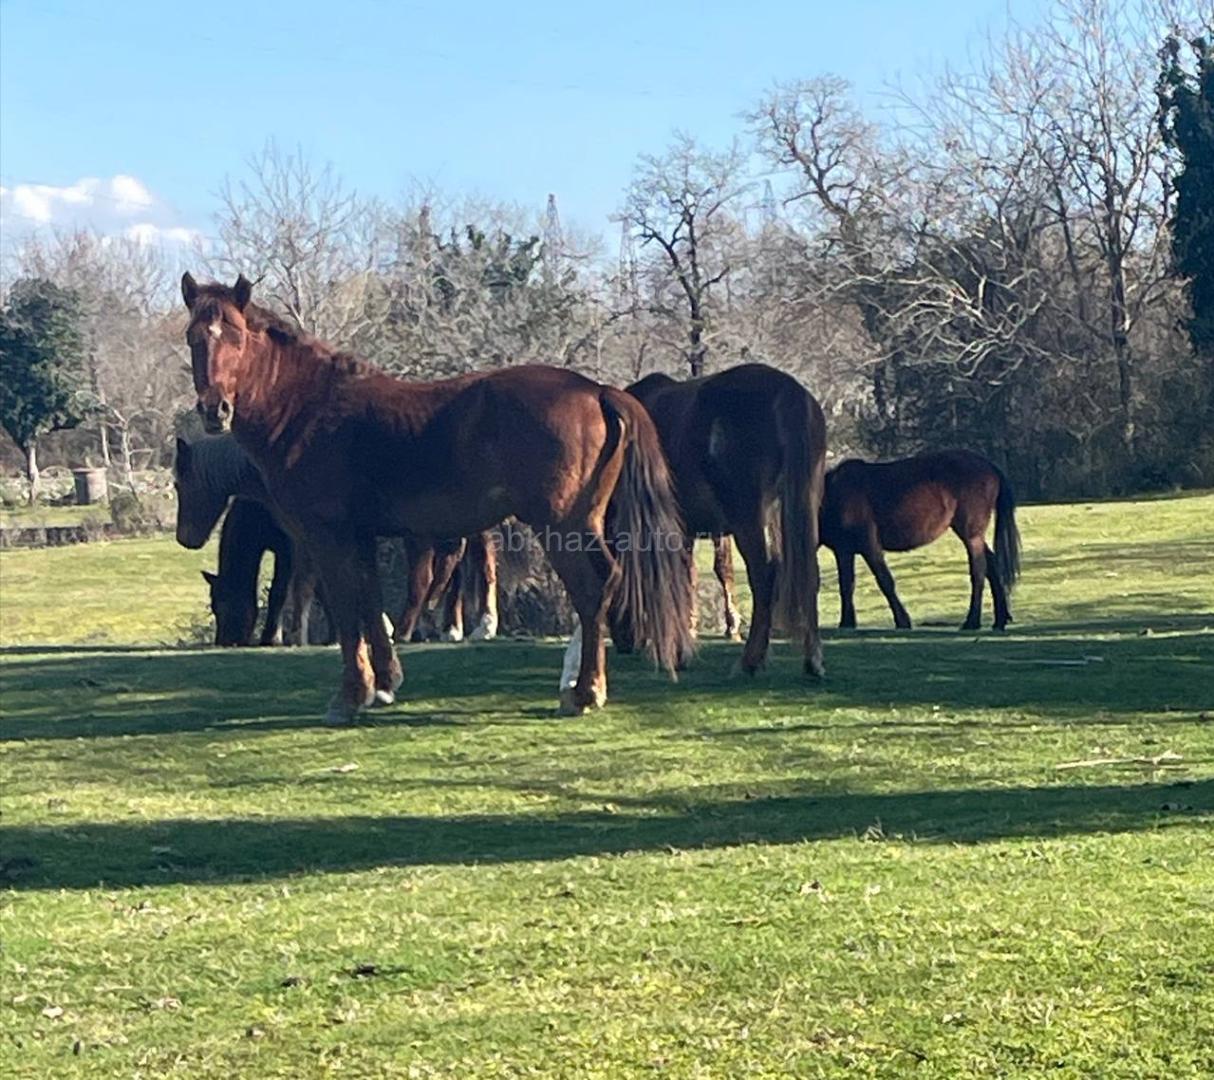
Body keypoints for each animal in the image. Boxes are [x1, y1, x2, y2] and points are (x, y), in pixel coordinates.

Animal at [174, 434, 323, 646]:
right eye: (214, 606)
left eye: (177, 485)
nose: (223, 642)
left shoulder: (289, 549)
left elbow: (281, 591)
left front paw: (274, 638)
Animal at [625, 364, 828, 677]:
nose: (625, 642)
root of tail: (788, 390)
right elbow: (689, 577)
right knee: (807, 573)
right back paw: (812, 659)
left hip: (749, 518)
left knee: (764, 577)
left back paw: (750, 660)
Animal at [818, 448, 1021, 630]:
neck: (834, 496)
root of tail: (989, 466)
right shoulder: (843, 551)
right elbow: (846, 585)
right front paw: (846, 622)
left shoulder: (869, 546)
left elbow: (885, 581)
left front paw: (902, 621)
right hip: (972, 534)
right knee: (992, 566)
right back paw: (1000, 620)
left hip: (971, 536)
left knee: (979, 571)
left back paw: (972, 622)